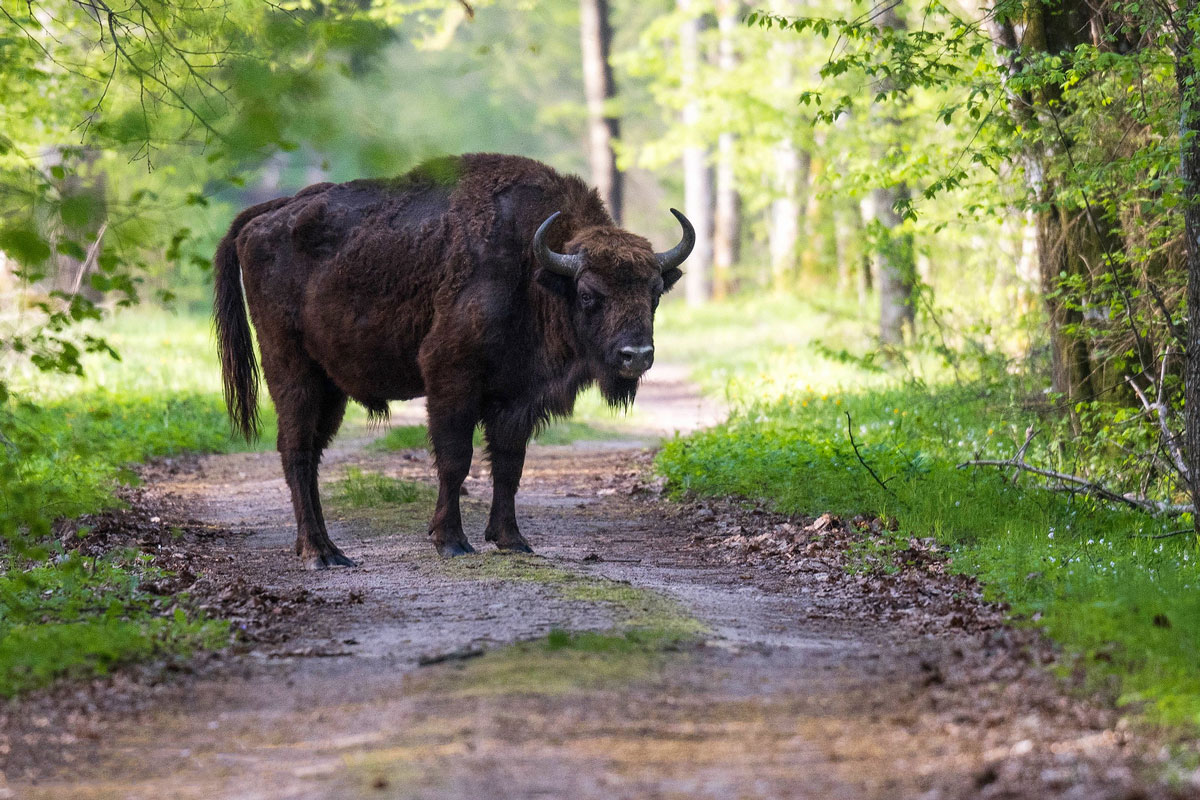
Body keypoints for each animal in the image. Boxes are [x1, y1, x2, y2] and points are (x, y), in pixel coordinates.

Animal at [213, 153, 693, 568]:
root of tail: (264, 219)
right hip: (292, 371)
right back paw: (318, 554)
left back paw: (328, 550)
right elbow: (455, 459)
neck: (535, 268)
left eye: (654, 292)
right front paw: (452, 542)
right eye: (590, 294)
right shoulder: (451, 378)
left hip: (331, 387)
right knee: (295, 450)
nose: (636, 356)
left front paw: (512, 539)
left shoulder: (517, 397)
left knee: (312, 453)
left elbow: (509, 463)